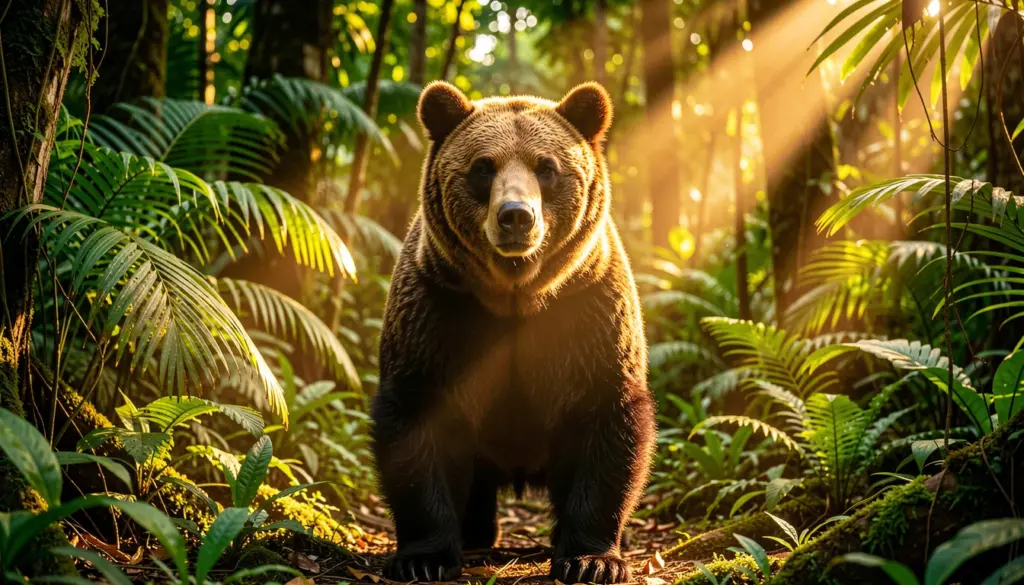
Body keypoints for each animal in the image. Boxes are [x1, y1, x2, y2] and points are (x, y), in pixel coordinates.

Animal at [371, 80, 656, 584]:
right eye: (483, 167)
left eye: (547, 167)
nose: (516, 216)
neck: (516, 298)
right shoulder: (439, 308)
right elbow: (416, 416)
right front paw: (423, 557)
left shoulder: (589, 309)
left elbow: (607, 418)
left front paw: (592, 559)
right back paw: (475, 533)